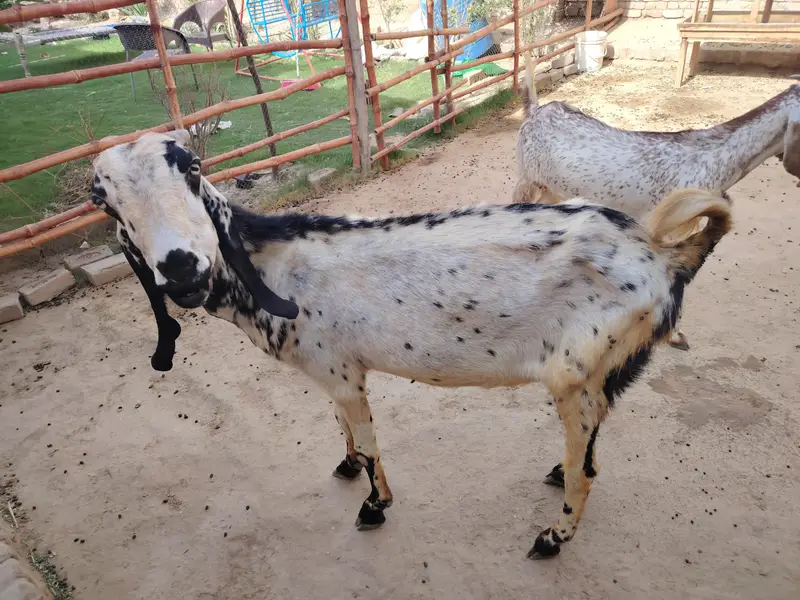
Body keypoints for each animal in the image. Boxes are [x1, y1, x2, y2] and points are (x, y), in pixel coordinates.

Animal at [91, 131, 732, 558]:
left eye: (194, 169)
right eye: (103, 199)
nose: (182, 270)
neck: (276, 264)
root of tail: (666, 254)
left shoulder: (342, 371)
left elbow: (371, 443)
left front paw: (374, 506)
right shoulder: (333, 372)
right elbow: (343, 427)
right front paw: (347, 465)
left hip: (575, 374)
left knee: (590, 469)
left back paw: (553, 536)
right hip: (608, 370)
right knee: (593, 443)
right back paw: (556, 472)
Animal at [515, 54, 798, 350]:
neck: (712, 159)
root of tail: (536, 110)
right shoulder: (665, 225)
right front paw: (671, 333)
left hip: (552, 188)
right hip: (526, 178)